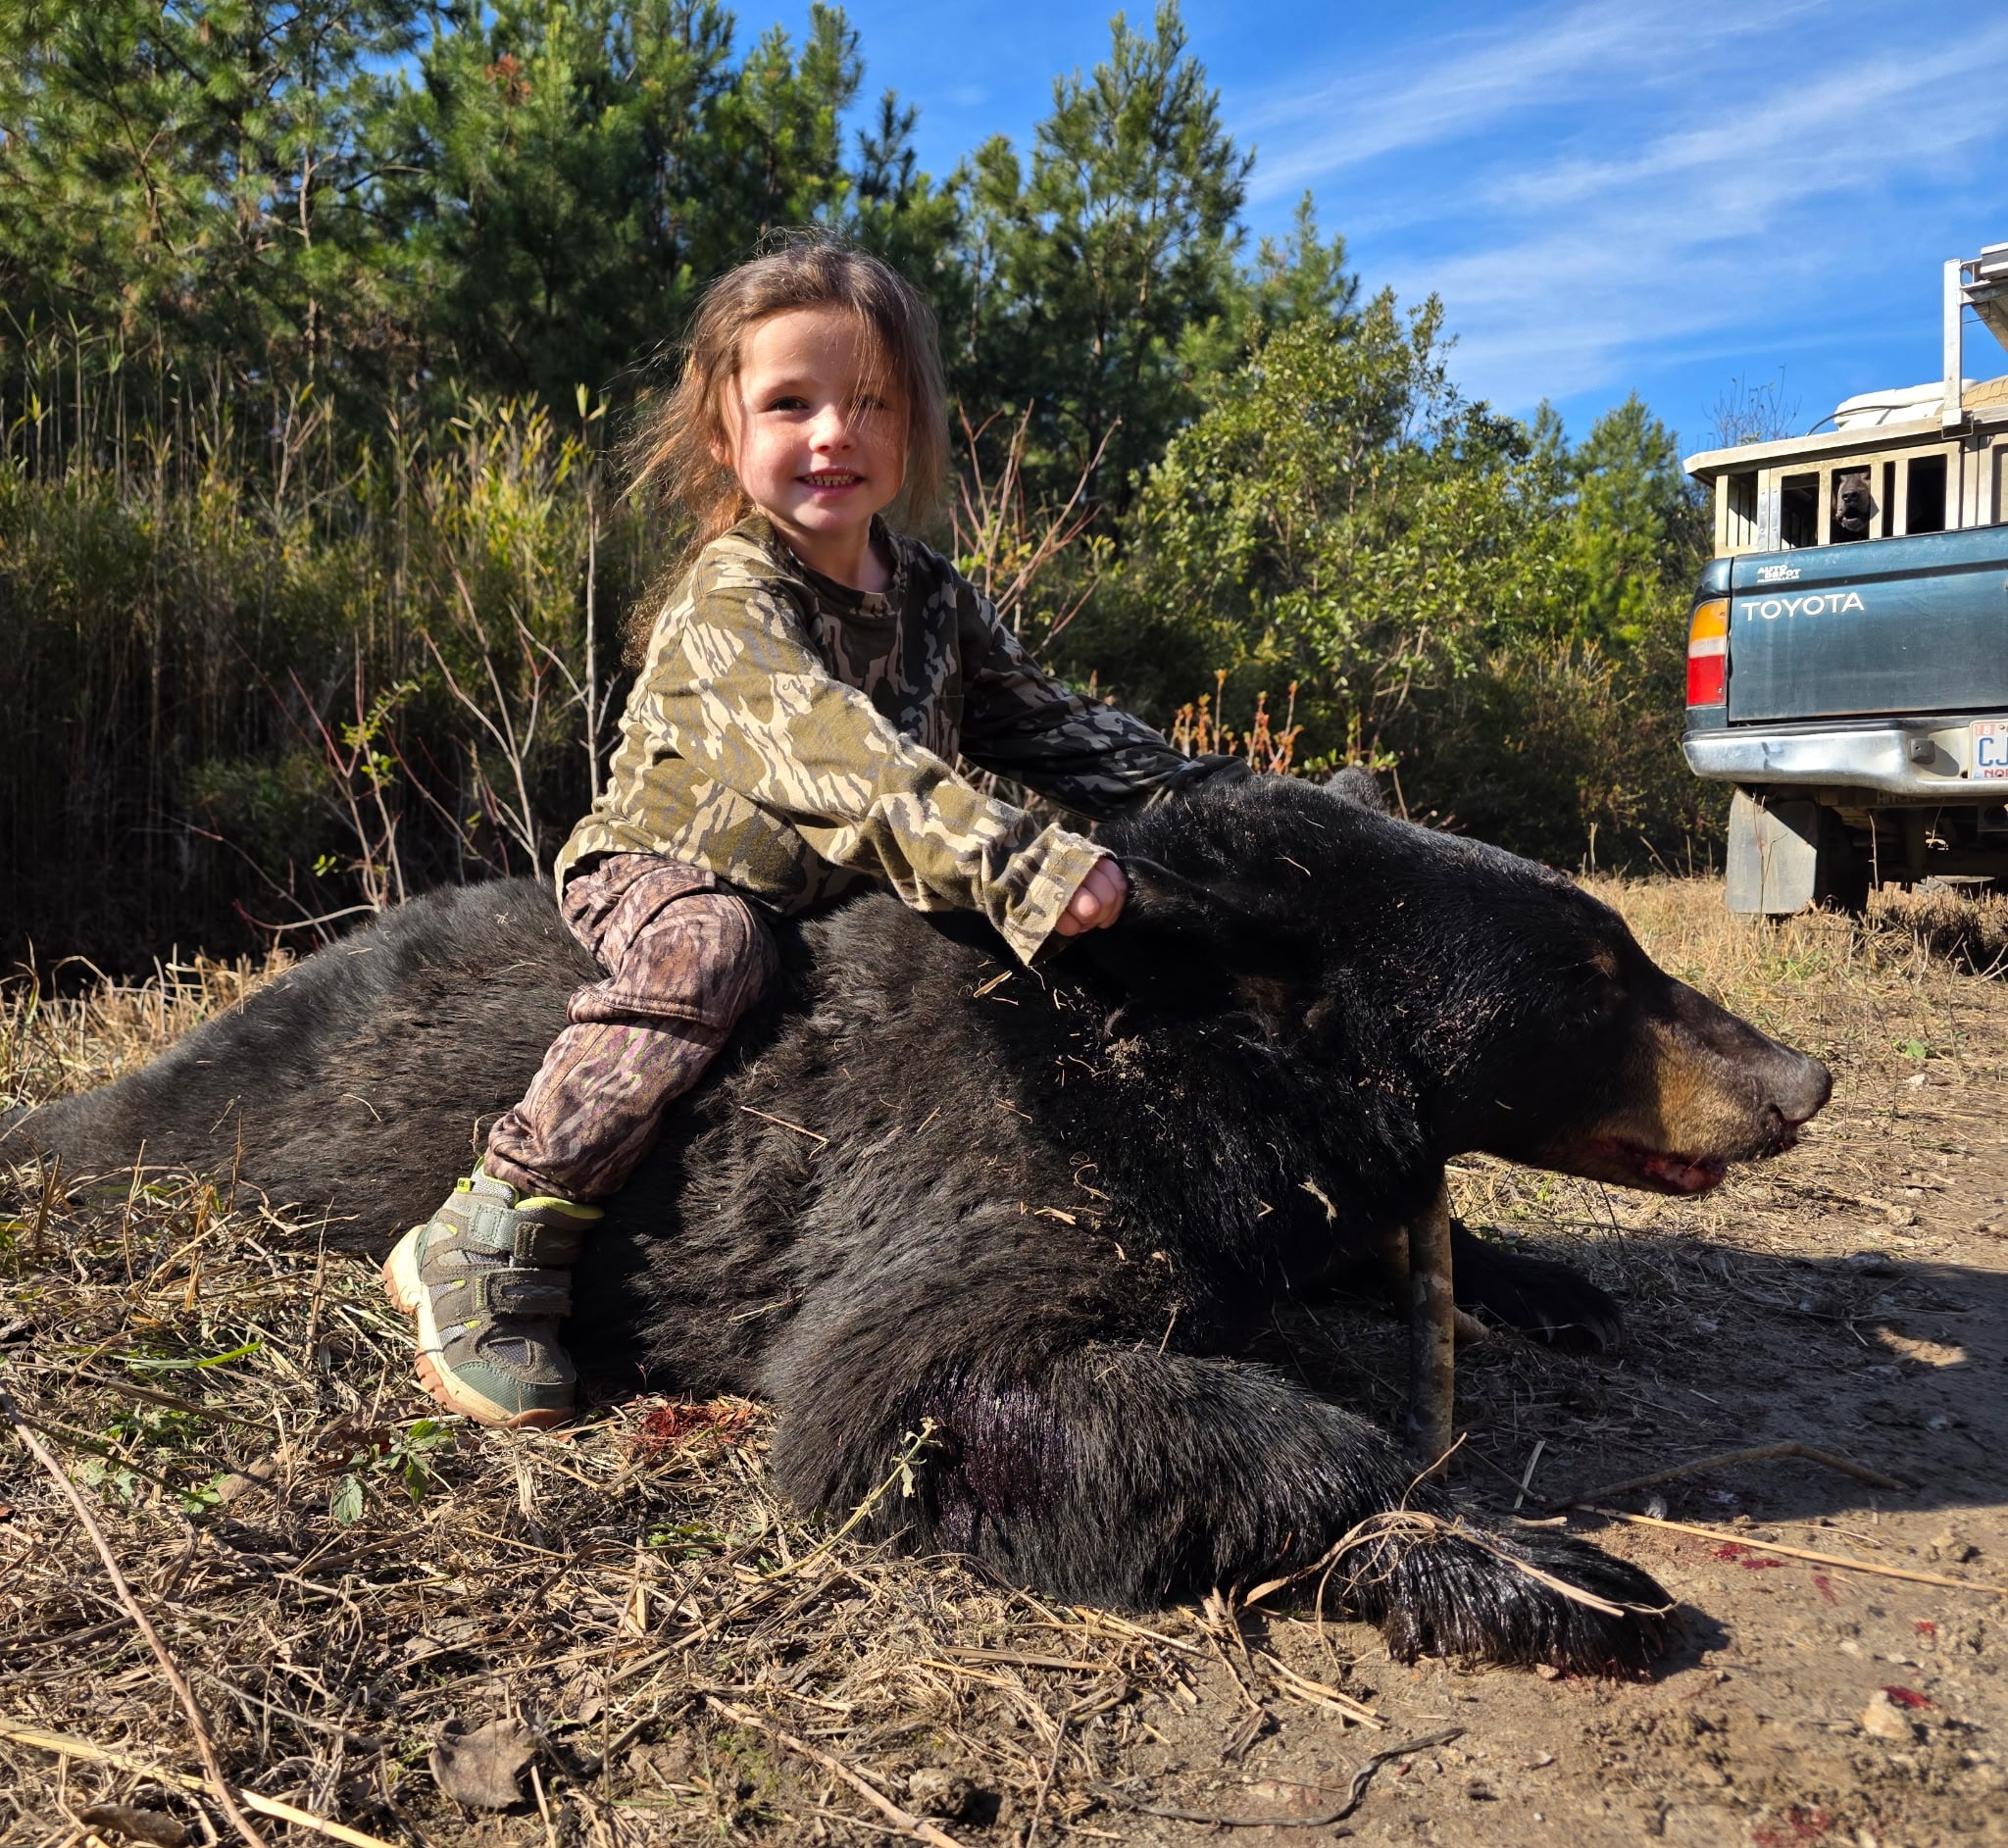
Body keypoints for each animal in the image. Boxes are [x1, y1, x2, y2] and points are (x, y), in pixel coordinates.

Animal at [2, 772, 1831, 1672]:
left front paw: (1547, 1282)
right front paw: (1531, 1566)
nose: (1802, 1076)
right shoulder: (982, 1167)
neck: (1186, 1045)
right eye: (1596, 973)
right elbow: (916, 1395)